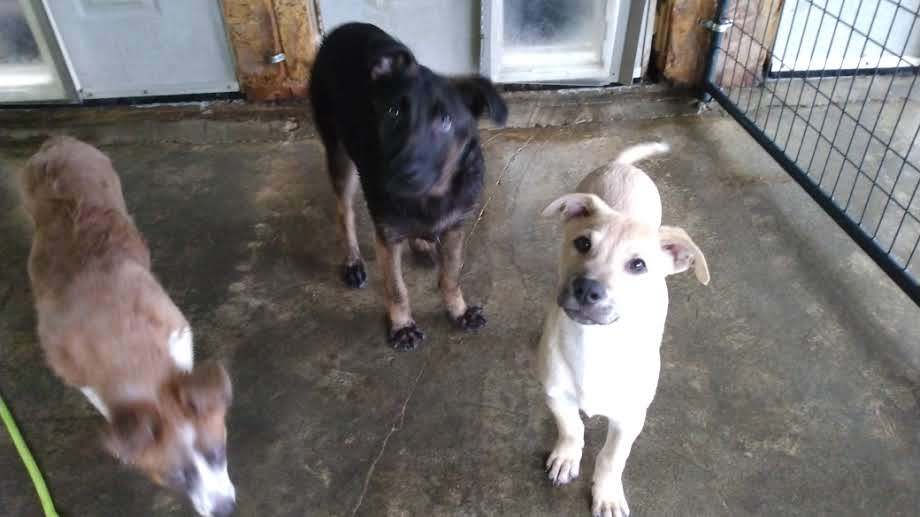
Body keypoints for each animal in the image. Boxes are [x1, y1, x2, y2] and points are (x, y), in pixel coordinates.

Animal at [22, 136, 239, 516]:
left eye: (218, 453)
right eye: (175, 477)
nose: (225, 509)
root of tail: (58, 142)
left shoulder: (176, 331)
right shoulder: (77, 371)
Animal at [310, 22, 510, 348]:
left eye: (445, 121)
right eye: (393, 112)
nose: (395, 175)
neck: (432, 195)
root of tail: (343, 28)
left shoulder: (455, 227)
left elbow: (451, 276)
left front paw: (459, 311)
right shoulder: (388, 236)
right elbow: (396, 288)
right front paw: (402, 325)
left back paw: (422, 245)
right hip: (338, 152)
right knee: (344, 213)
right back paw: (353, 261)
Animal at [536, 142, 708, 516]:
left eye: (638, 265)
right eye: (583, 243)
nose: (586, 289)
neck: (595, 343)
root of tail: (621, 166)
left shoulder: (630, 418)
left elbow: (612, 458)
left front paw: (608, 494)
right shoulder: (556, 394)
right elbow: (571, 428)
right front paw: (567, 457)